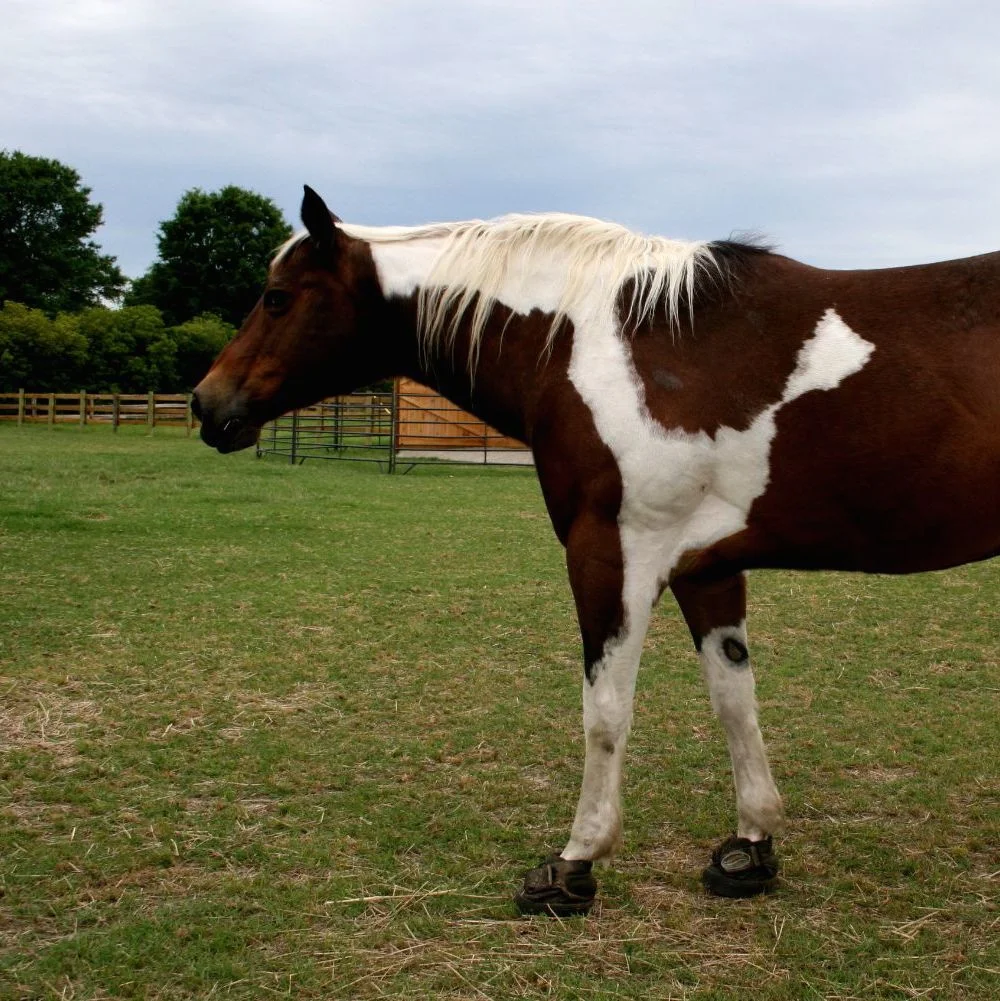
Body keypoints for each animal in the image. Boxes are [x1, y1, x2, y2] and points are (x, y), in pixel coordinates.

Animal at [193, 185, 1000, 915]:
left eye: (276, 298)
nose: (206, 403)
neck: (605, 343)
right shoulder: (708, 567)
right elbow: (733, 700)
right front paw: (752, 848)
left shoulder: (612, 555)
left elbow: (606, 712)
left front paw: (575, 862)